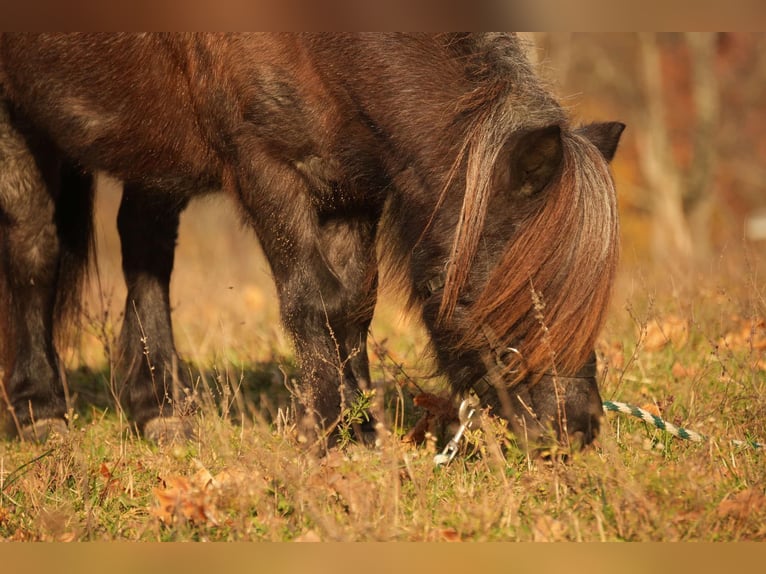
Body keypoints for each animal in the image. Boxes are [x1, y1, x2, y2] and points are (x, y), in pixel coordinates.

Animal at [0, 33, 624, 450]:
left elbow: (354, 304)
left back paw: (161, 410)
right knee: (34, 248)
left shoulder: (352, 187)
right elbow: (314, 299)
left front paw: (360, 429)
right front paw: (325, 431)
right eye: (516, 292)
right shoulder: (265, 170)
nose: (576, 427)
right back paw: (41, 413)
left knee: (145, 248)